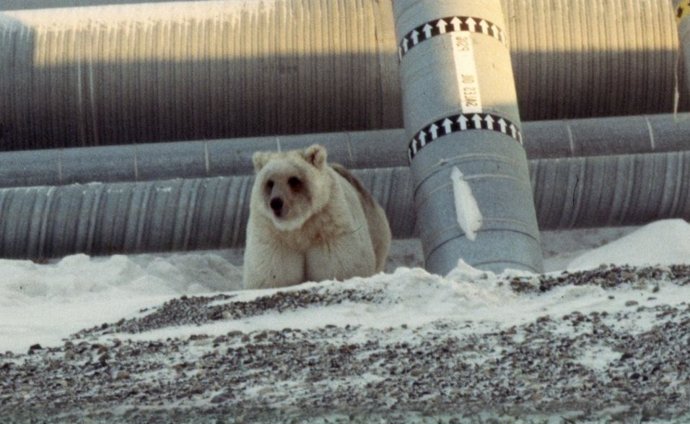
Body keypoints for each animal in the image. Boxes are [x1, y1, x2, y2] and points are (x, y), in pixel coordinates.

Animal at [242, 144, 390, 290]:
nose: (276, 203)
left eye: (293, 180)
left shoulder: (330, 223)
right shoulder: (272, 233)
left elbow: (340, 265)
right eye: (270, 182)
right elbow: (273, 272)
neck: (298, 226)